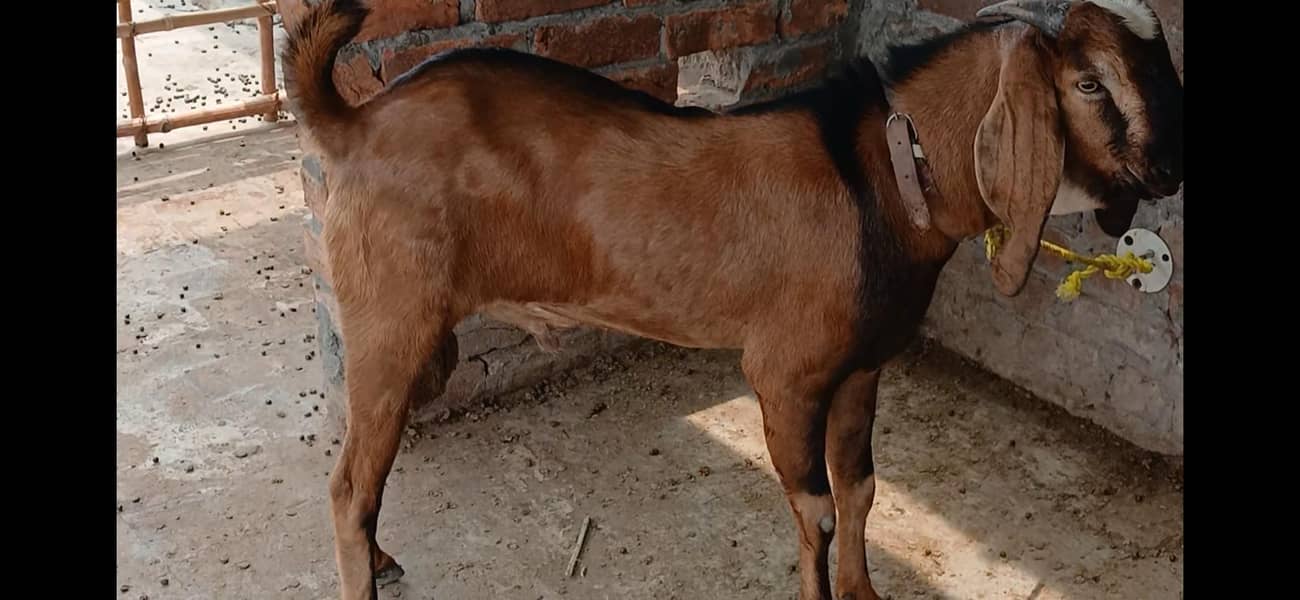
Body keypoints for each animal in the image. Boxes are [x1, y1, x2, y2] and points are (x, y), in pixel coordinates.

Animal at [281, 1, 1183, 598]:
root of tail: (356, 121)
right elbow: (816, 510)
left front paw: (863, 591)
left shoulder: (864, 369)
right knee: (348, 487)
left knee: (362, 476)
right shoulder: (786, 373)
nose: (1171, 170)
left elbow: (861, 490)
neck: (887, 177)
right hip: (391, 322)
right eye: (1090, 83)